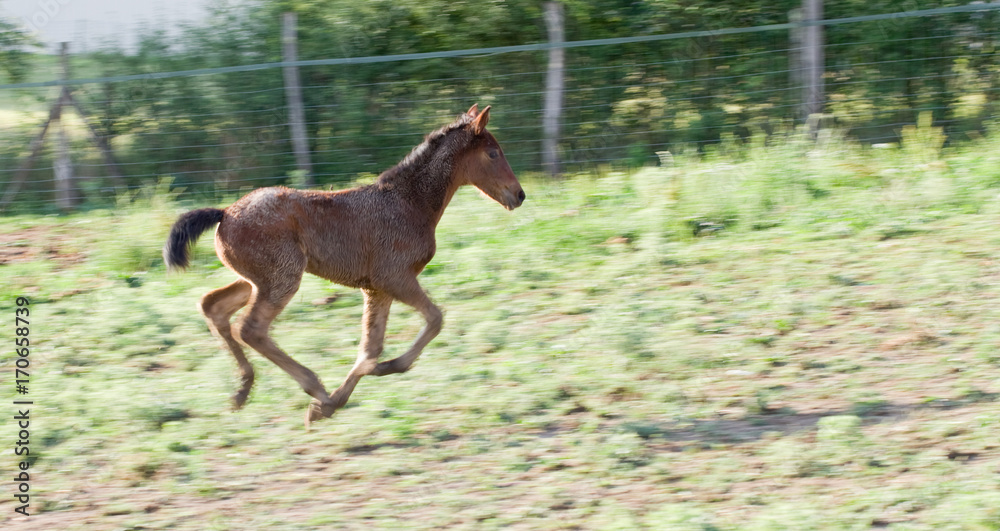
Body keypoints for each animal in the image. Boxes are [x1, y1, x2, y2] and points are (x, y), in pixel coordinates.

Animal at [162, 105, 524, 428]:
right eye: (493, 153)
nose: (518, 195)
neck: (409, 203)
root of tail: (225, 212)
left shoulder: (376, 289)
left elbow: (370, 347)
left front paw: (336, 401)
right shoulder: (394, 278)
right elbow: (434, 320)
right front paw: (379, 371)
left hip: (255, 280)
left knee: (214, 306)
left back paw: (244, 389)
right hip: (282, 277)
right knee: (251, 328)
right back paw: (313, 387)